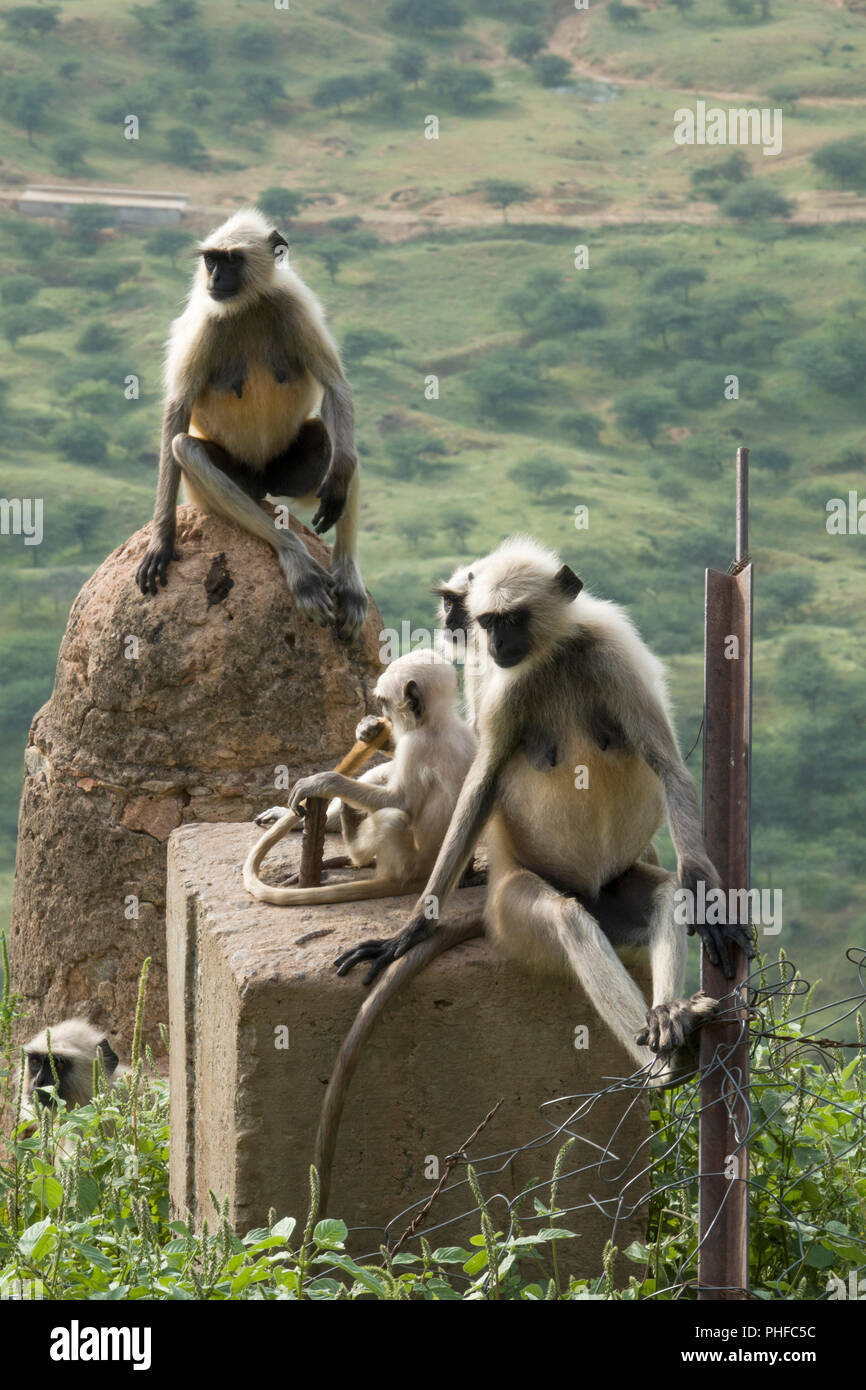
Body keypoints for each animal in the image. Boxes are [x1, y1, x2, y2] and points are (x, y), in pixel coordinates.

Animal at [135, 205, 366, 639]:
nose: (214, 279)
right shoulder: (207, 323)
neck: (248, 306)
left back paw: (347, 578)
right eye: (211, 260)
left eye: (231, 260)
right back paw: (297, 563)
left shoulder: (292, 305)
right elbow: (177, 413)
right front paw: (161, 538)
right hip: (224, 488)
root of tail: (264, 480)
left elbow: (336, 388)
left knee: (342, 451)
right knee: (185, 447)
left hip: (291, 474)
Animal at [240, 653, 478, 911]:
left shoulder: (417, 745)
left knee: (392, 818)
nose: (384, 715)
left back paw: (353, 841)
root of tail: (425, 877)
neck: (439, 722)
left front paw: (324, 781)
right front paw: (369, 730)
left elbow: (402, 802)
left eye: (384, 702)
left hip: (408, 866)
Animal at [335, 536, 756, 1089]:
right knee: (568, 920)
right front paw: (408, 933)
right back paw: (662, 1067)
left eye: (512, 618)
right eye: (488, 620)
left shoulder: (610, 660)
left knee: (665, 893)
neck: (554, 656)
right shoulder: (506, 689)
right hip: (513, 908)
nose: (493, 642)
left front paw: (707, 898)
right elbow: (480, 785)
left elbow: (668, 770)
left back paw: (668, 1022)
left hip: (614, 890)